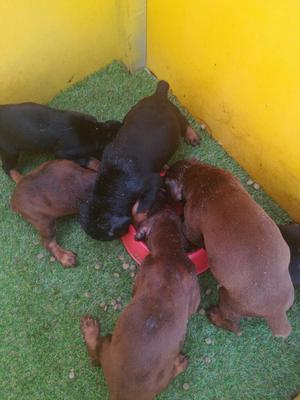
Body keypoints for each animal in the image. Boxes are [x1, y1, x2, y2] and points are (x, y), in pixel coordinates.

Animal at [79, 79, 199, 239]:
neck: (114, 181)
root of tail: (158, 95)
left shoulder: (153, 181)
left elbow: (137, 211)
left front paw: (139, 220)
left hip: (175, 112)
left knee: (184, 122)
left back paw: (192, 135)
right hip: (132, 111)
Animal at [165, 159, 294, 338]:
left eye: (165, 186)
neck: (202, 176)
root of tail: (276, 312)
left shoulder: (191, 226)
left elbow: (193, 238)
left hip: (229, 301)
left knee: (235, 327)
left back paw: (215, 316)